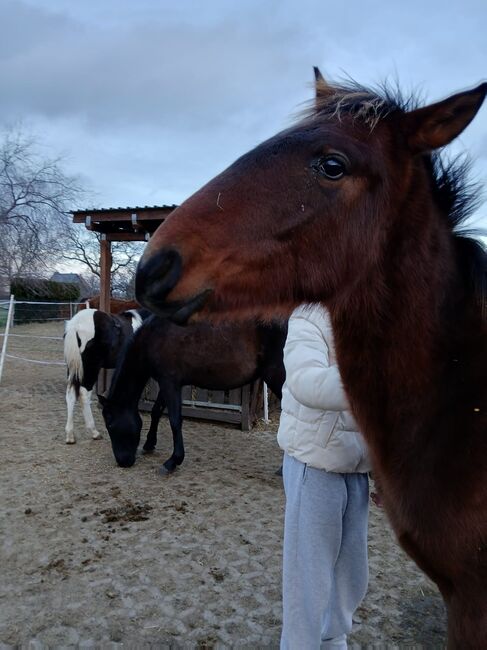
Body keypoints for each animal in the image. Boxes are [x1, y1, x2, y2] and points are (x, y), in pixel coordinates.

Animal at [63, 308, 151, 440]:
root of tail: (75, 325)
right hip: (91, 369)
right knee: (84, 394)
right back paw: (94, 431)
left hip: (74, 369)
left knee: (71, 394)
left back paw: (70, 435)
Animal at [101, 316, 288, 474]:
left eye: (110, 424)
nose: (123, 461)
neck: (152, 338)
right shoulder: (168, 383)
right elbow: (156, 412)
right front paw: (149, 444)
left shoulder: (169, 383)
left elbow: (175, 420)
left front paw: (173, 461)